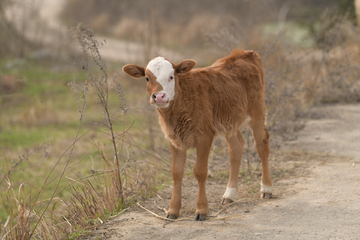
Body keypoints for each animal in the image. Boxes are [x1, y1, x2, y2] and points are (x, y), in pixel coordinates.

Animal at [122, 48, 272, 221]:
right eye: (147, 78)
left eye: (172, 76)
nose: (159, 96)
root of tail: (245, 53)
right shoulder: (174, 138)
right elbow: (176, 172)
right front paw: (173, 210)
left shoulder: (204, 136)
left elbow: (200, 171)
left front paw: (201, 210)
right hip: (229, 120)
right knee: (236, 147)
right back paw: (229, 195)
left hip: (257, 111)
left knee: (261, 144)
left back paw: (266, 189)